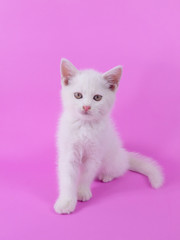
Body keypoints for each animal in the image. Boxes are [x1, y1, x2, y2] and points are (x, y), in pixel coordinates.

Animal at [53, 58, 165, 214]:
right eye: (78, 95)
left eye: (97, 97)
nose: (86, 107)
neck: (85, 126)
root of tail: (123, 153)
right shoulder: (68, 152)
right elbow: (68, 178)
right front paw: (66, 202)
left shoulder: (95, 154)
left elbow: (87, 174)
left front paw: (82, 192)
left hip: (111, 161)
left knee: (118, 169)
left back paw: (106, 176)